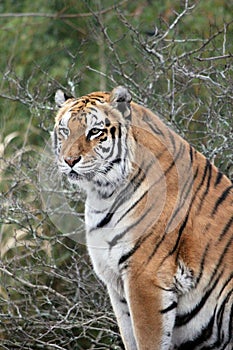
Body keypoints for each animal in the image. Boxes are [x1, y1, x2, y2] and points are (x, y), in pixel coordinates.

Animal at [52, 85, 233, 350]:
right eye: (65, 131)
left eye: (94, 131)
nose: (69, 161)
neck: (103, 195)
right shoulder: (116, 284)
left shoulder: (145, 278)